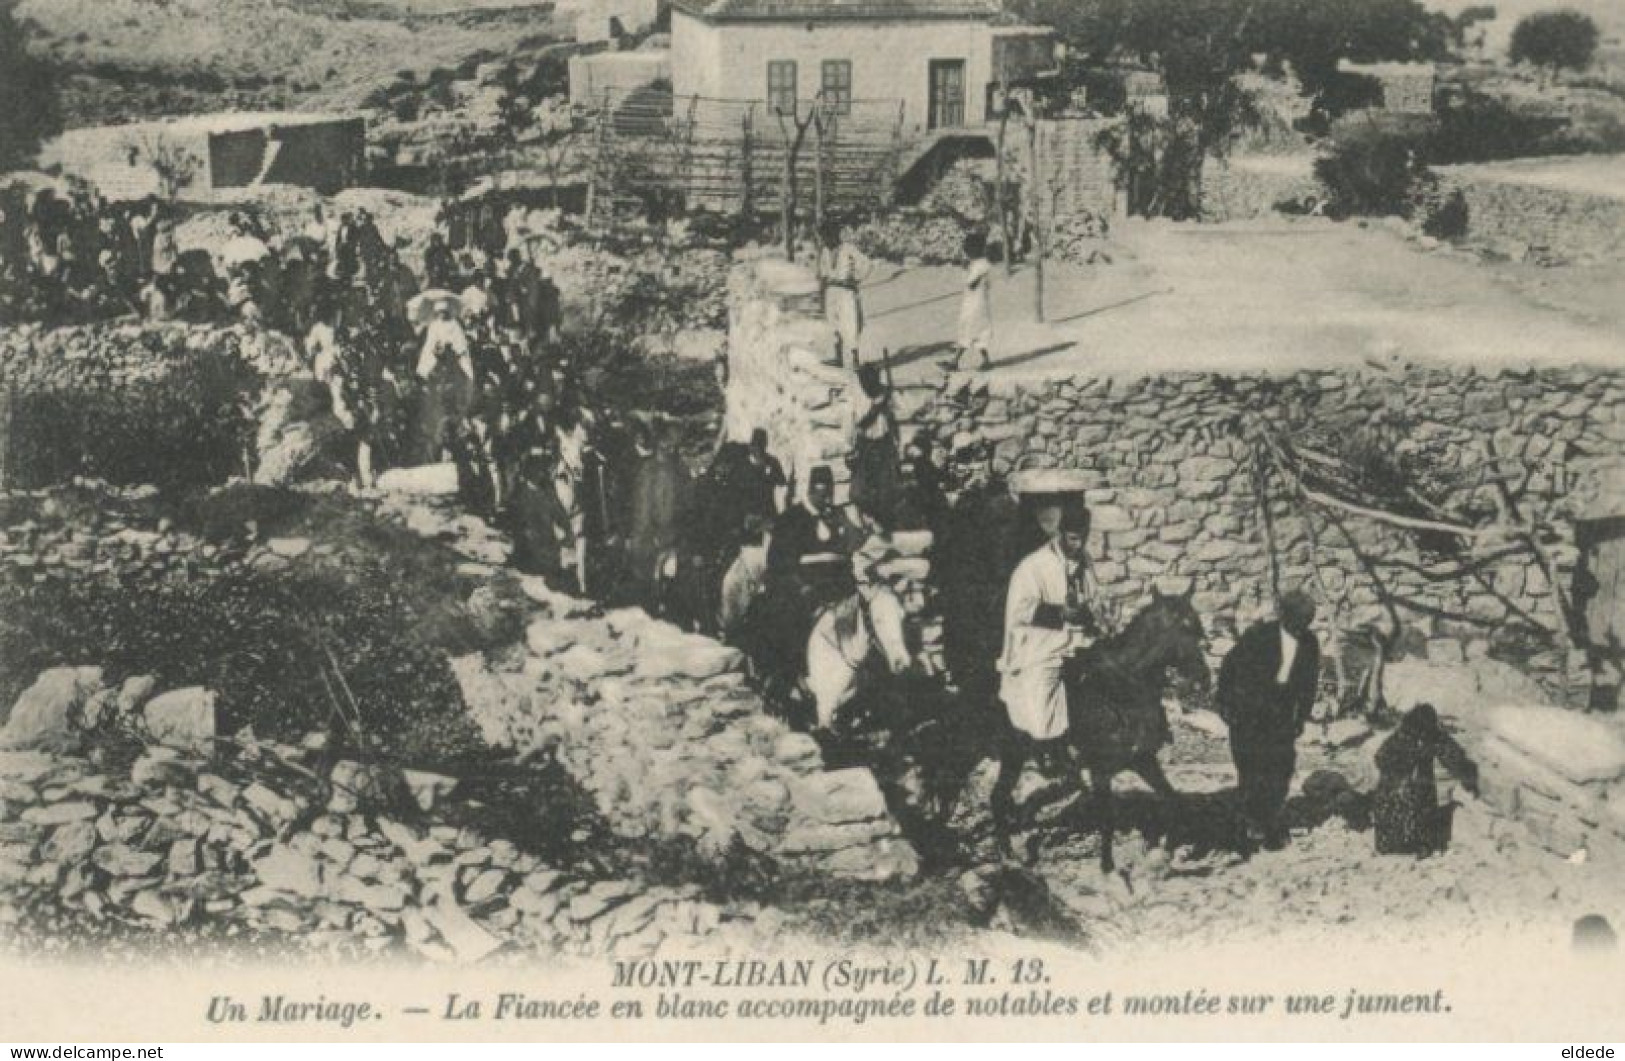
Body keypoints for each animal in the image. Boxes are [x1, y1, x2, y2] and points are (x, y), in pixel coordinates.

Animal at [1001, 588, 1209, 870]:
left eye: (1196, 627)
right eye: (1182, 628)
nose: (1202, 680)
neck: (1122, 689)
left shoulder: (1143, 760)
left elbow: (1171, 798)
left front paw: (1168, 846)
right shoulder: (1100, 769)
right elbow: (1106, 817)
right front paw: (1107, 867)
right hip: (1011, 755)